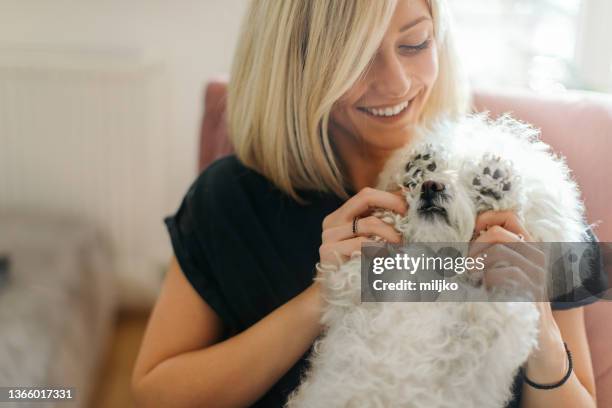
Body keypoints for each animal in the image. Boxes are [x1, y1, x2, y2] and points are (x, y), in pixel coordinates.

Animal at [286, 114, 588, 408]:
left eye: (470, 185)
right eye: (434, 173)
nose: (430, 185)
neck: (436, 267)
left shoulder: (497, 335)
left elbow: (504, 302)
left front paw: (494, 189)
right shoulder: (351, 292)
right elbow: (352, 271)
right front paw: (389, 216)